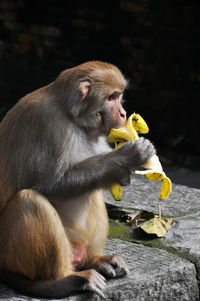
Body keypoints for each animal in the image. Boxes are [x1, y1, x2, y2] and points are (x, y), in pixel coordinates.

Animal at [0, 61, 155, 298]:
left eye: (119, 96)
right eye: (111, 97)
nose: (123, 113)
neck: (72, 117)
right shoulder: (49, 125)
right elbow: (50, 184)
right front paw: (128, 156)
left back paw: (94, 260)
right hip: (11, 253)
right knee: (29, 199)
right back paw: (64, 280)